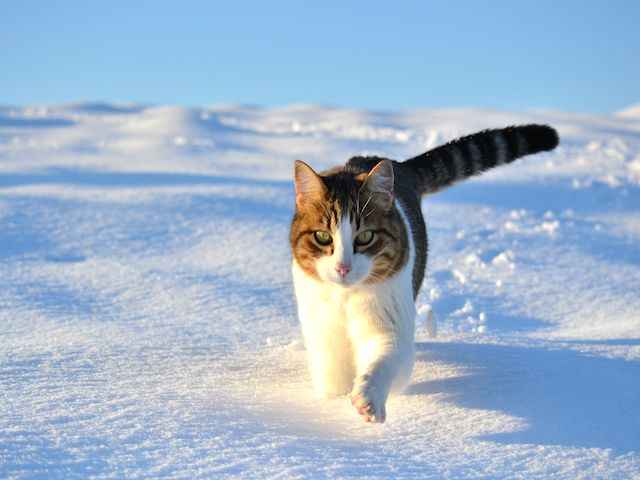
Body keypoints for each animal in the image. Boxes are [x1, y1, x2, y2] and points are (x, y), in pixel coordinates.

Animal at [290, 124, 560, 424]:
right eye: (323, 237)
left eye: (366, 237)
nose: (343, 267)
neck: (346, 298)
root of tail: (397, 165)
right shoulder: (323, 328)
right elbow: (333, 374)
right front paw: (331, 403)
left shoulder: (389, 316)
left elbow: (386, 357)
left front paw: (368, 398)